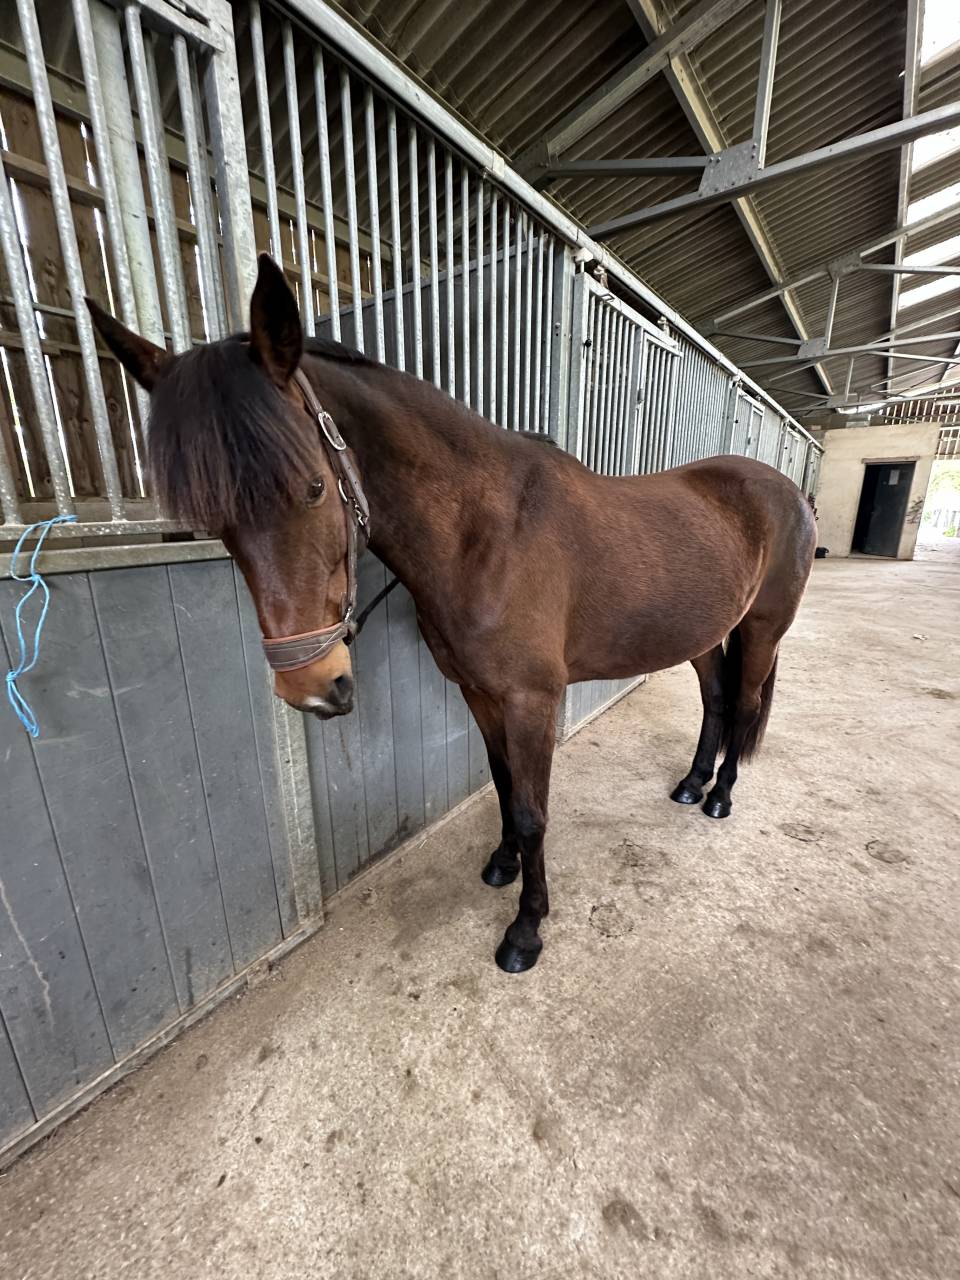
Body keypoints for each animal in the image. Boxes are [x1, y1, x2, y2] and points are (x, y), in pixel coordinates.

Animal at [87, 254, 816, 974]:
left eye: (314, 487)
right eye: (213, 519)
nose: (311, 686)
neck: (485, 535)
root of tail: (789, 492)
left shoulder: (530, 699)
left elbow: (532, 809)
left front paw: (526, 929)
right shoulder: (477, 691)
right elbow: (502, 784)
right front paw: (501, 865)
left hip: (761, 629)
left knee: (744, 702)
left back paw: (720, 797)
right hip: (706, 633)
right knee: (716, 700)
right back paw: (691, 785)